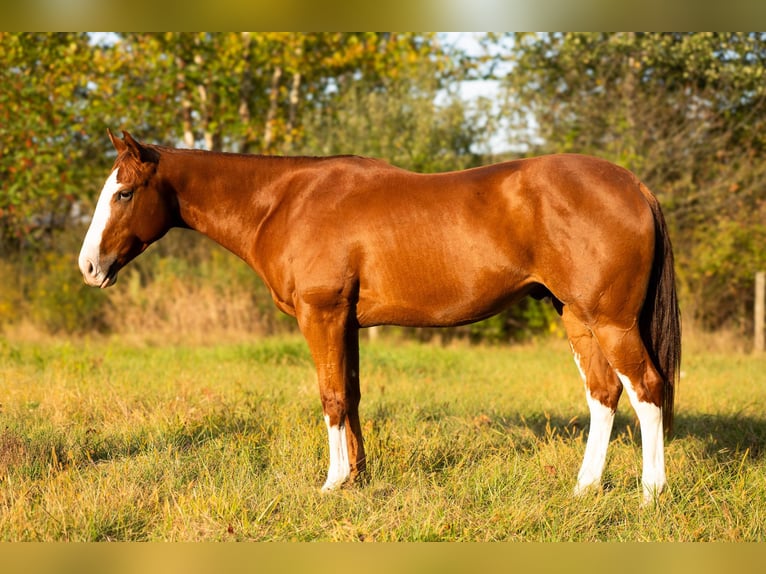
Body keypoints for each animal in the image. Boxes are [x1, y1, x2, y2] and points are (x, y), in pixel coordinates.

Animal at [78, 130, 680, 503]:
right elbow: (352, 394)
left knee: (647, 389)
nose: (88, 267)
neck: (285, 201)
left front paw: (332, 482)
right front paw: (358, 479)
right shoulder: (345, 322)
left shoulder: (320, 314)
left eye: (124, 192)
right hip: (577, 317)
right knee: (604, 393)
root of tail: (634, 185)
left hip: (611, 321)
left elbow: (331, 396)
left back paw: (651, 493)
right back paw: (584, 487)